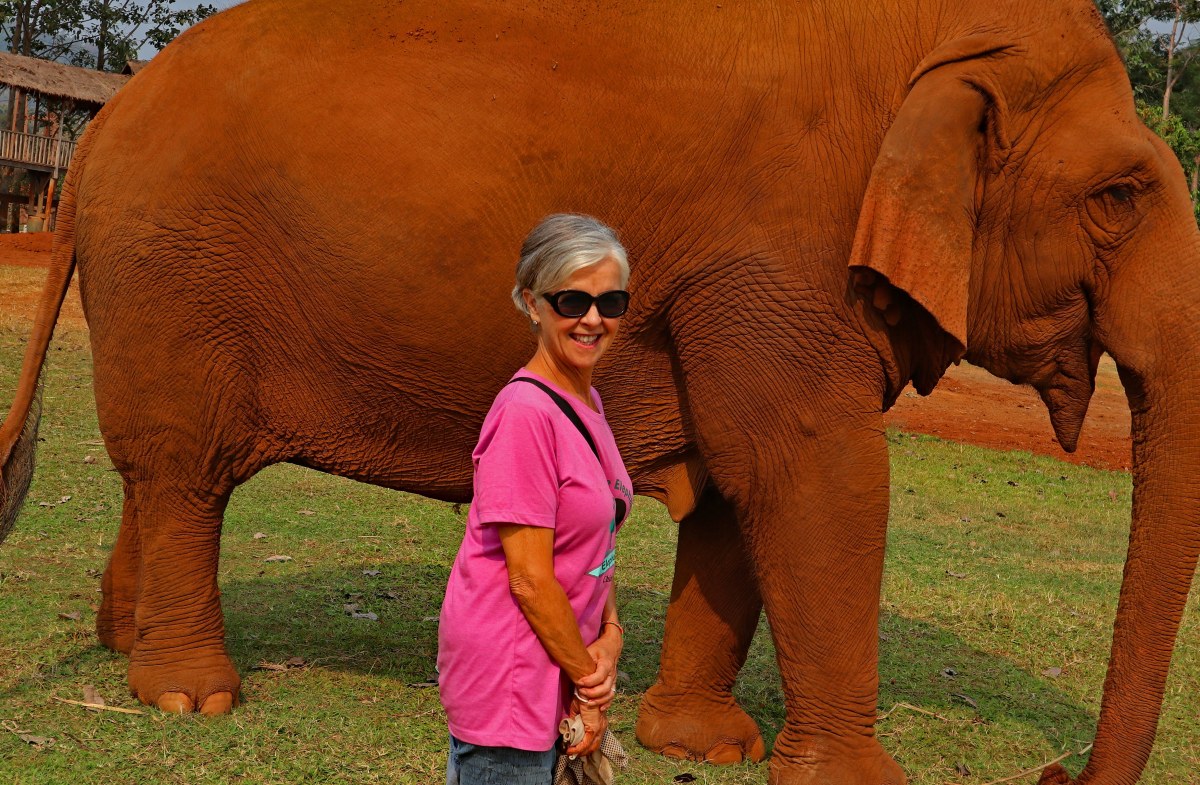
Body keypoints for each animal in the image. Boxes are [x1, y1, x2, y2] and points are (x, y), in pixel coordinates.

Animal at [2, 0, 1200, 782]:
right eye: (1120, 195)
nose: (1054, 769)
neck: (932, 40)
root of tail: (95, 131)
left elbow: (738, 485)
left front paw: (703, 745)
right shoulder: (775, 253)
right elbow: (819, 470)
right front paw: (857, 781)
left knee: (155, 470)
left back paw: (122, 646)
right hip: (172, 268)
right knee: (182, 471)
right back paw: (188, 693)